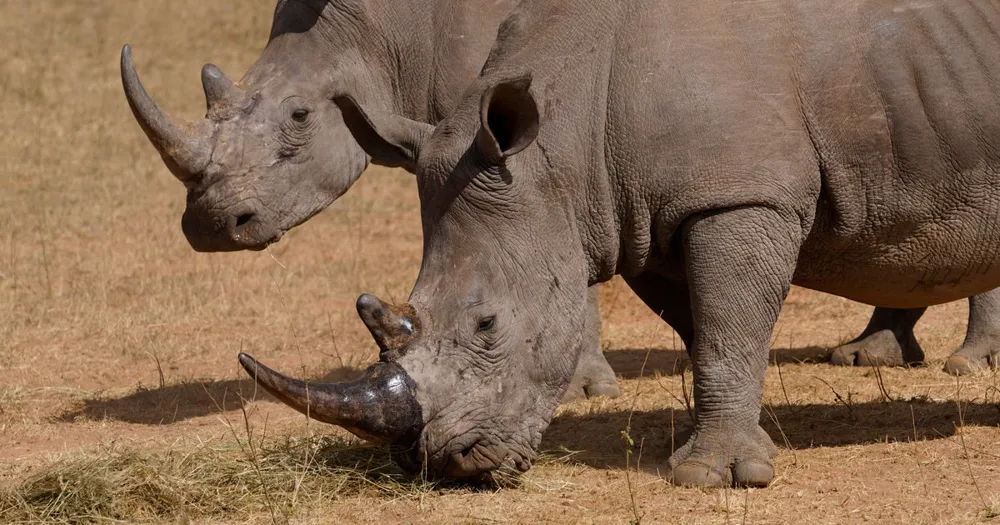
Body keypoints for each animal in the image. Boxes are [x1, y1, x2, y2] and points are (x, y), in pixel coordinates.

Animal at [121, 1, 1000, 375]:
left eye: (300, 119)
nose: (209, 226)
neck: (369, 36)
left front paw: (584, 381)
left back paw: (965, 364)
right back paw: (869, 352)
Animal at [238, 0, 1000, 487]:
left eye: (487, 325)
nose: (441, 464)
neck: (564, 135)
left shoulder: (738, 195)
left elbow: (727, 329)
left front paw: (713, 475)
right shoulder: (644, 214)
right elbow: (705, 329)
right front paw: (705, 441)